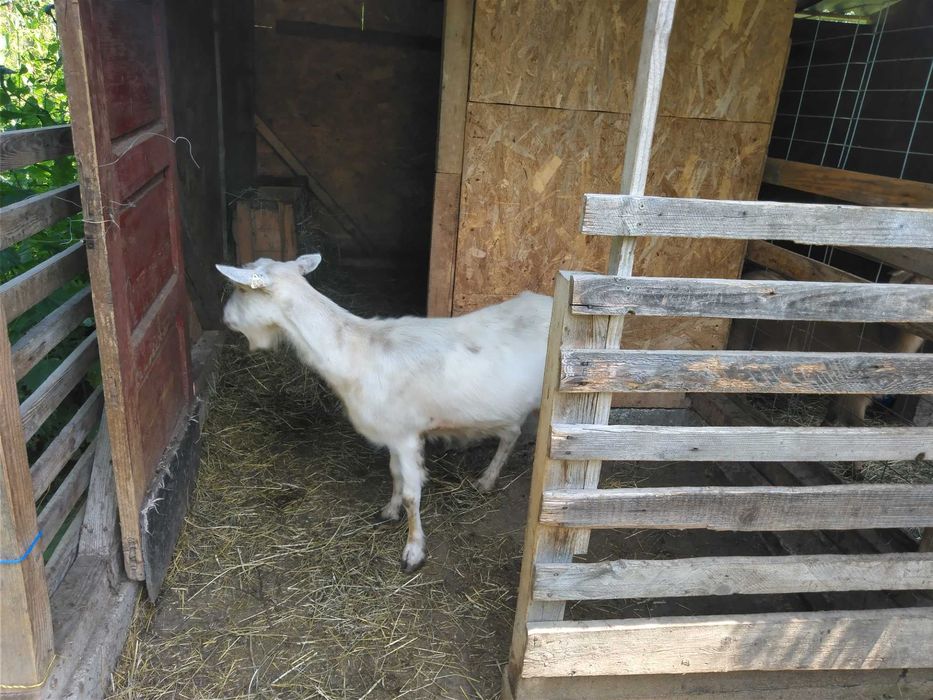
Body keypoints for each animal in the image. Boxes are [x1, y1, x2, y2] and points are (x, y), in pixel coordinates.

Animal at [216, 254, 551, 572]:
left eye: (240, 288)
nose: (225, 319)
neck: (356, 354)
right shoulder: (393, 433)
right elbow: (395, 474)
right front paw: (389, 511)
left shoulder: (406, 436)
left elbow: (412, 493)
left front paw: (413, 551)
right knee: (511, 432)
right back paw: (487, 480)